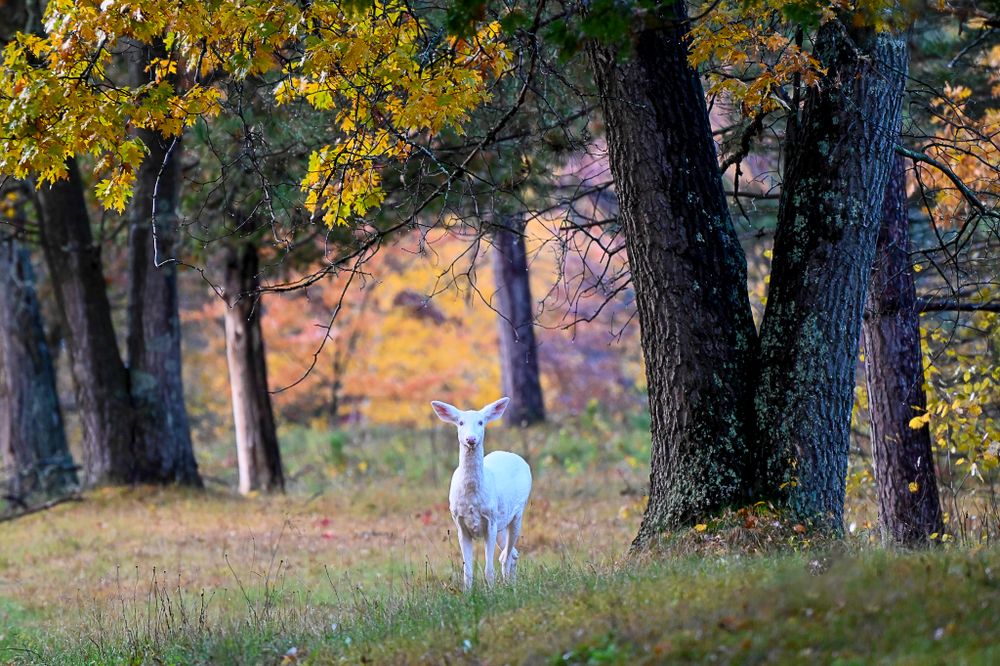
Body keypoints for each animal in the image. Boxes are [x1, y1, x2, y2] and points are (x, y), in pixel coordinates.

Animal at [431, 397, 532, 591]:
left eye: (481, 422)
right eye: (460, 422)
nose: (471, 439)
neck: (471, 498)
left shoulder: (490, 521)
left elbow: (488, 570)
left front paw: (491, 592)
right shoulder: (460, 524)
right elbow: (467, 571)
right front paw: (467, 594)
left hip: (517, 513)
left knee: (507, 555)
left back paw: (509, 587)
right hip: (501, 524)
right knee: (512, 554)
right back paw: (510, 584)